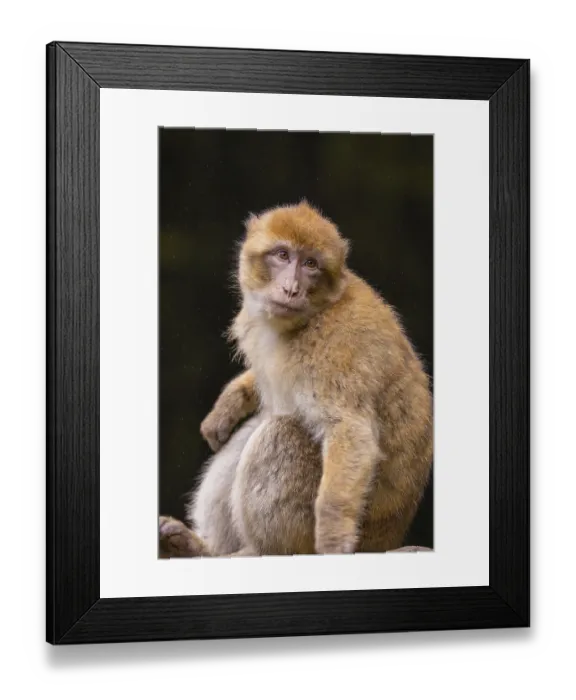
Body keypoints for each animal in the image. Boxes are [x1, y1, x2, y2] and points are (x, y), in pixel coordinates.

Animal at [159, 200, 433, 558]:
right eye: (282, 255)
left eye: (311, 264)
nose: (291, 288)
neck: (313, 316)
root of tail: (388, 539)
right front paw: (229, 404)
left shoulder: (336, 352)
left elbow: (351, 432)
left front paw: (332, 534)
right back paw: (201, 549)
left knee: (281, 430)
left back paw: (261, 550)